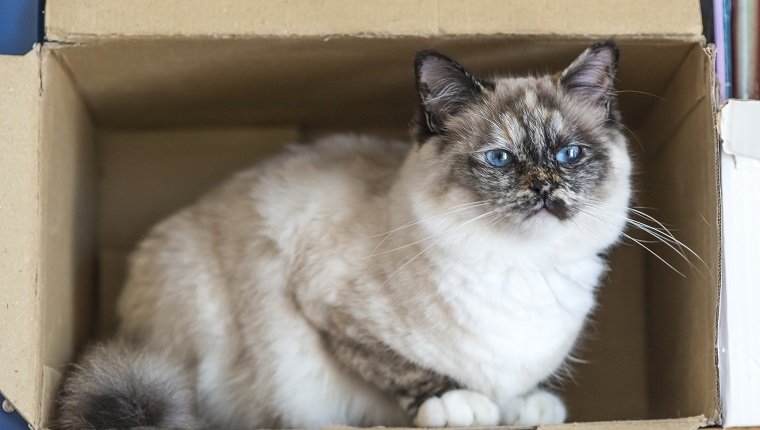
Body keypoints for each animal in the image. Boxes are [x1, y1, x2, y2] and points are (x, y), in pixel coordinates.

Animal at [56, 39, 632, 426]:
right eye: (500, 159)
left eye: (569, 154)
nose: (544, 188)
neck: (523, 269)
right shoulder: (332, 314)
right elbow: (404, 369)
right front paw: (460, 404)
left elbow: (516, 385)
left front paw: (523, 406)